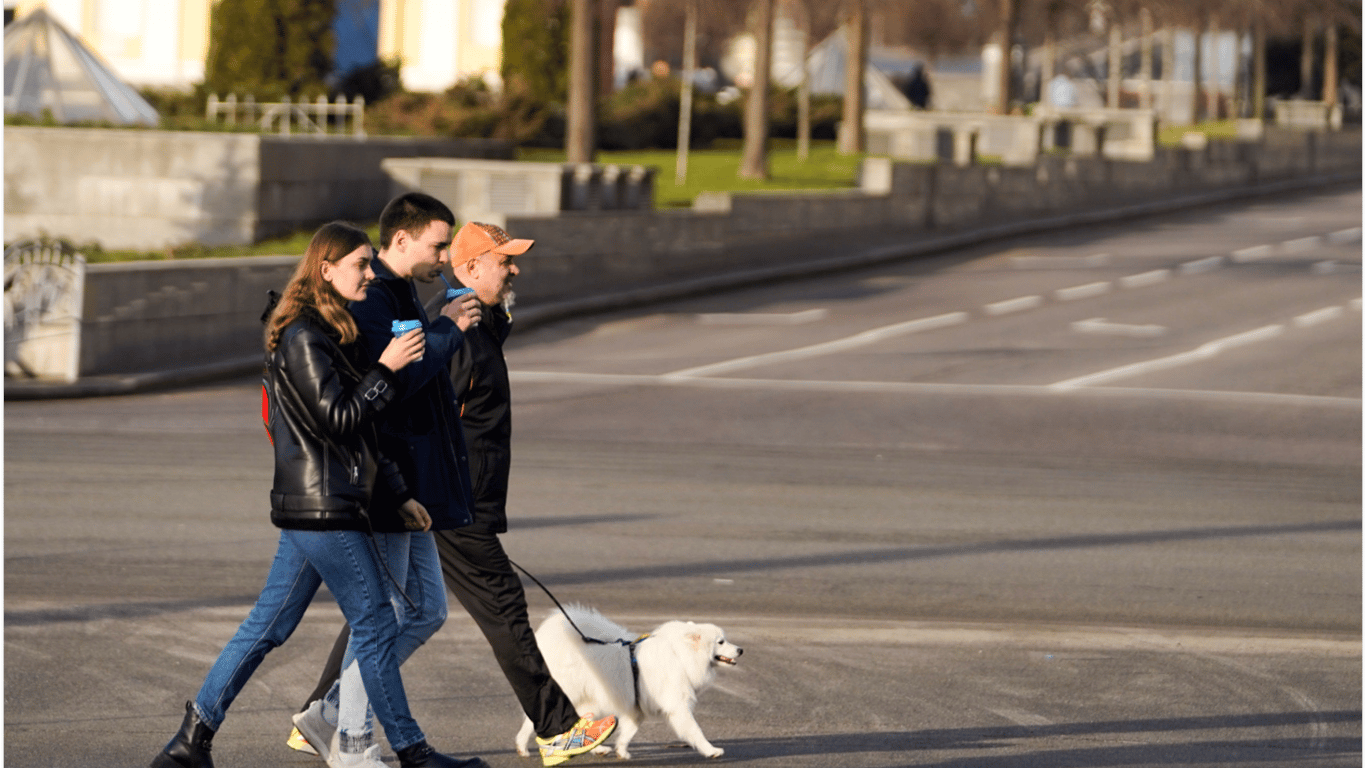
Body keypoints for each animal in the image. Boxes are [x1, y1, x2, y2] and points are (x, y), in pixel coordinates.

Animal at [513, 604, 748, 759]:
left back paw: (597, 748)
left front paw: (622, 752)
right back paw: (522, 747)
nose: (741, 650)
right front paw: (711, 750)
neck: (681, 656)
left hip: (590, 700)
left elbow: (628, 732)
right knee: (534, 718)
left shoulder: (636, 708)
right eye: (721, 642)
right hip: (571, 692)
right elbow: (695, 731)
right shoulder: (677, 706)